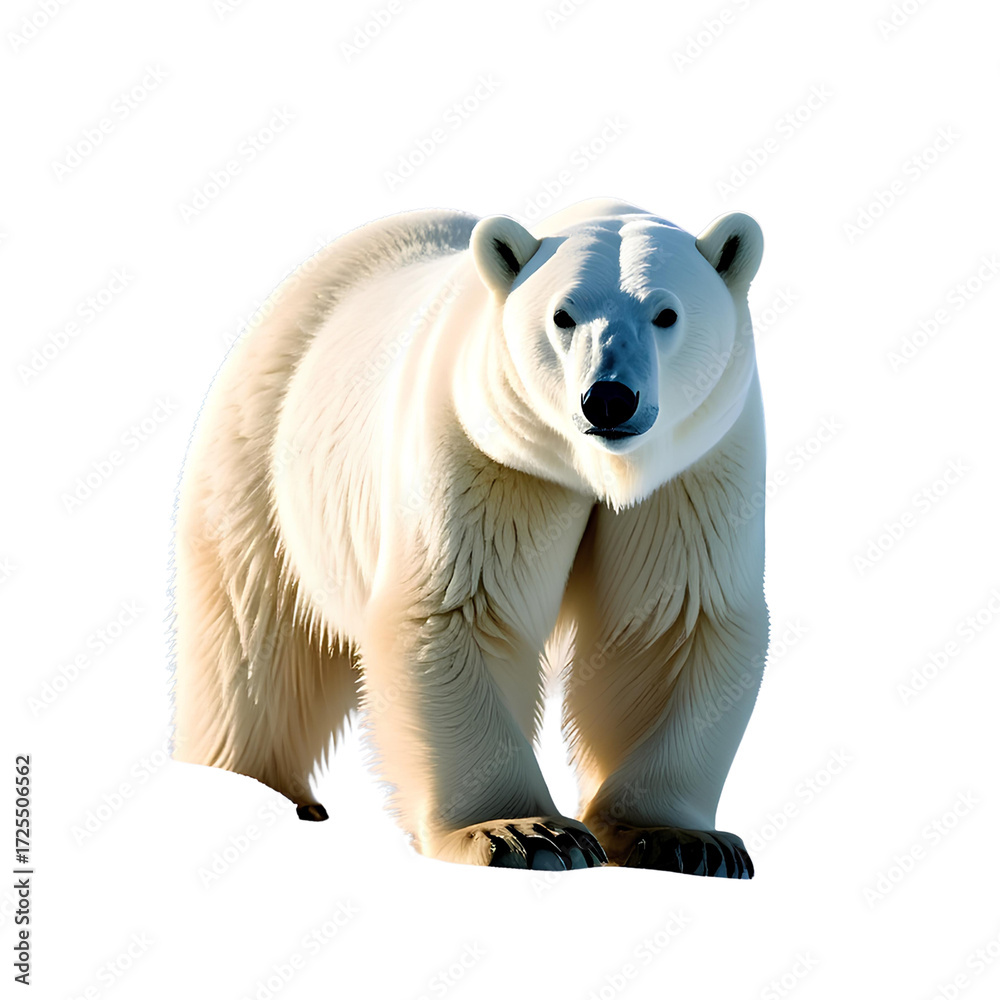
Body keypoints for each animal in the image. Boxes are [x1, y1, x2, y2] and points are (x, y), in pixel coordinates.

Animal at [170, 197, 769, 877]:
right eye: (562, 315)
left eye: (666, 312)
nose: (609, 399)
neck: (593, 471)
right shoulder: (484, 452)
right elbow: (461, 610)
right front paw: (525, 832)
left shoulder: (693, 472)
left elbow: (674, 622)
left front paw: (683, 839)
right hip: (263, 463)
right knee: (252, 645)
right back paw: (258, 789)